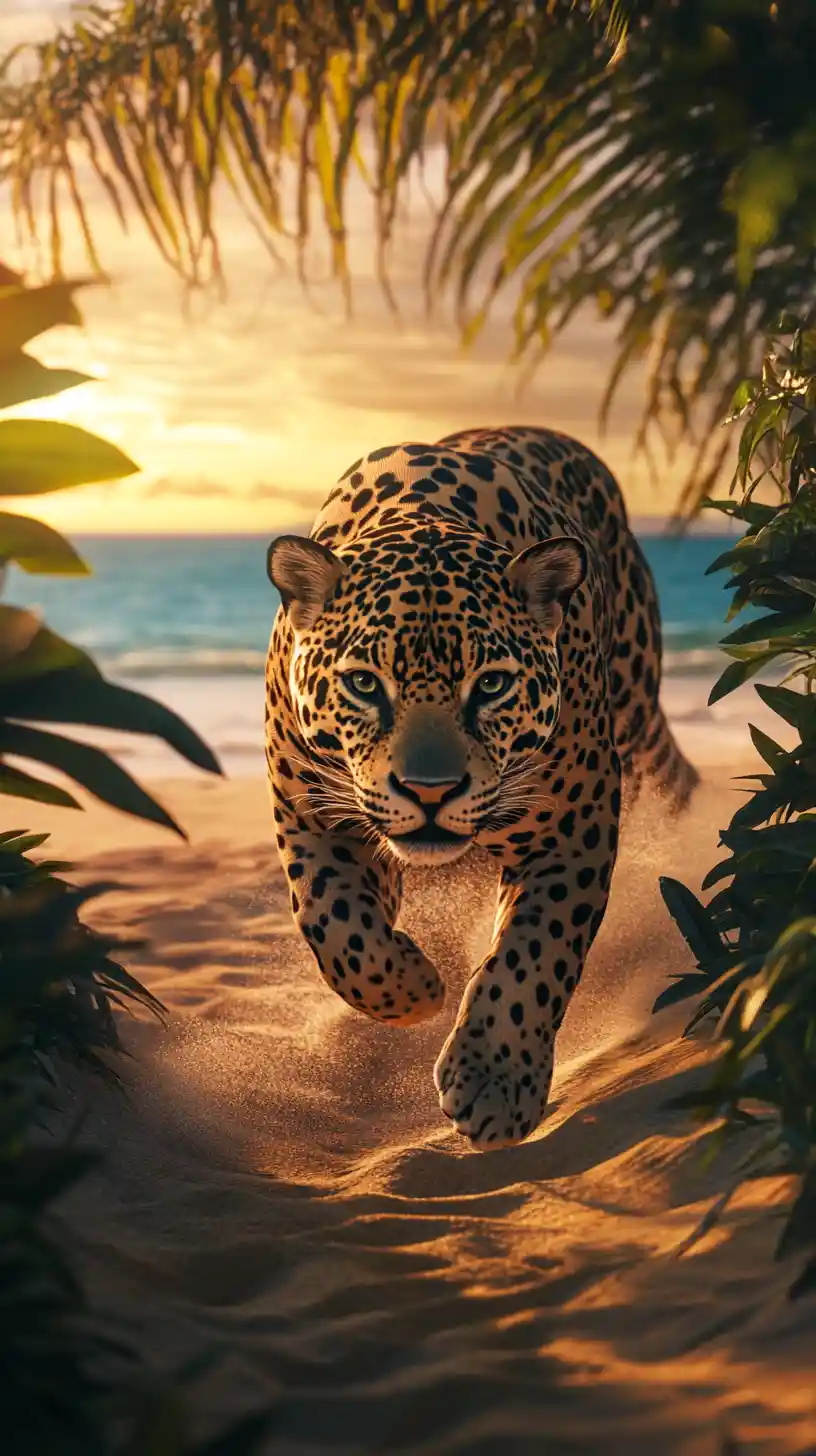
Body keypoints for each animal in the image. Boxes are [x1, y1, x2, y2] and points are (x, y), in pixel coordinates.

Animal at [264, 425, 698, 1151]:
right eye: (364, 684)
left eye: (490, 684)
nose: (429, 791)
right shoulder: (311, 814)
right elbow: (337, 930)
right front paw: (412, 989)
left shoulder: (572, 823)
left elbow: (536, 952)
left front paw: (497, 1082)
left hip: (636, 706)